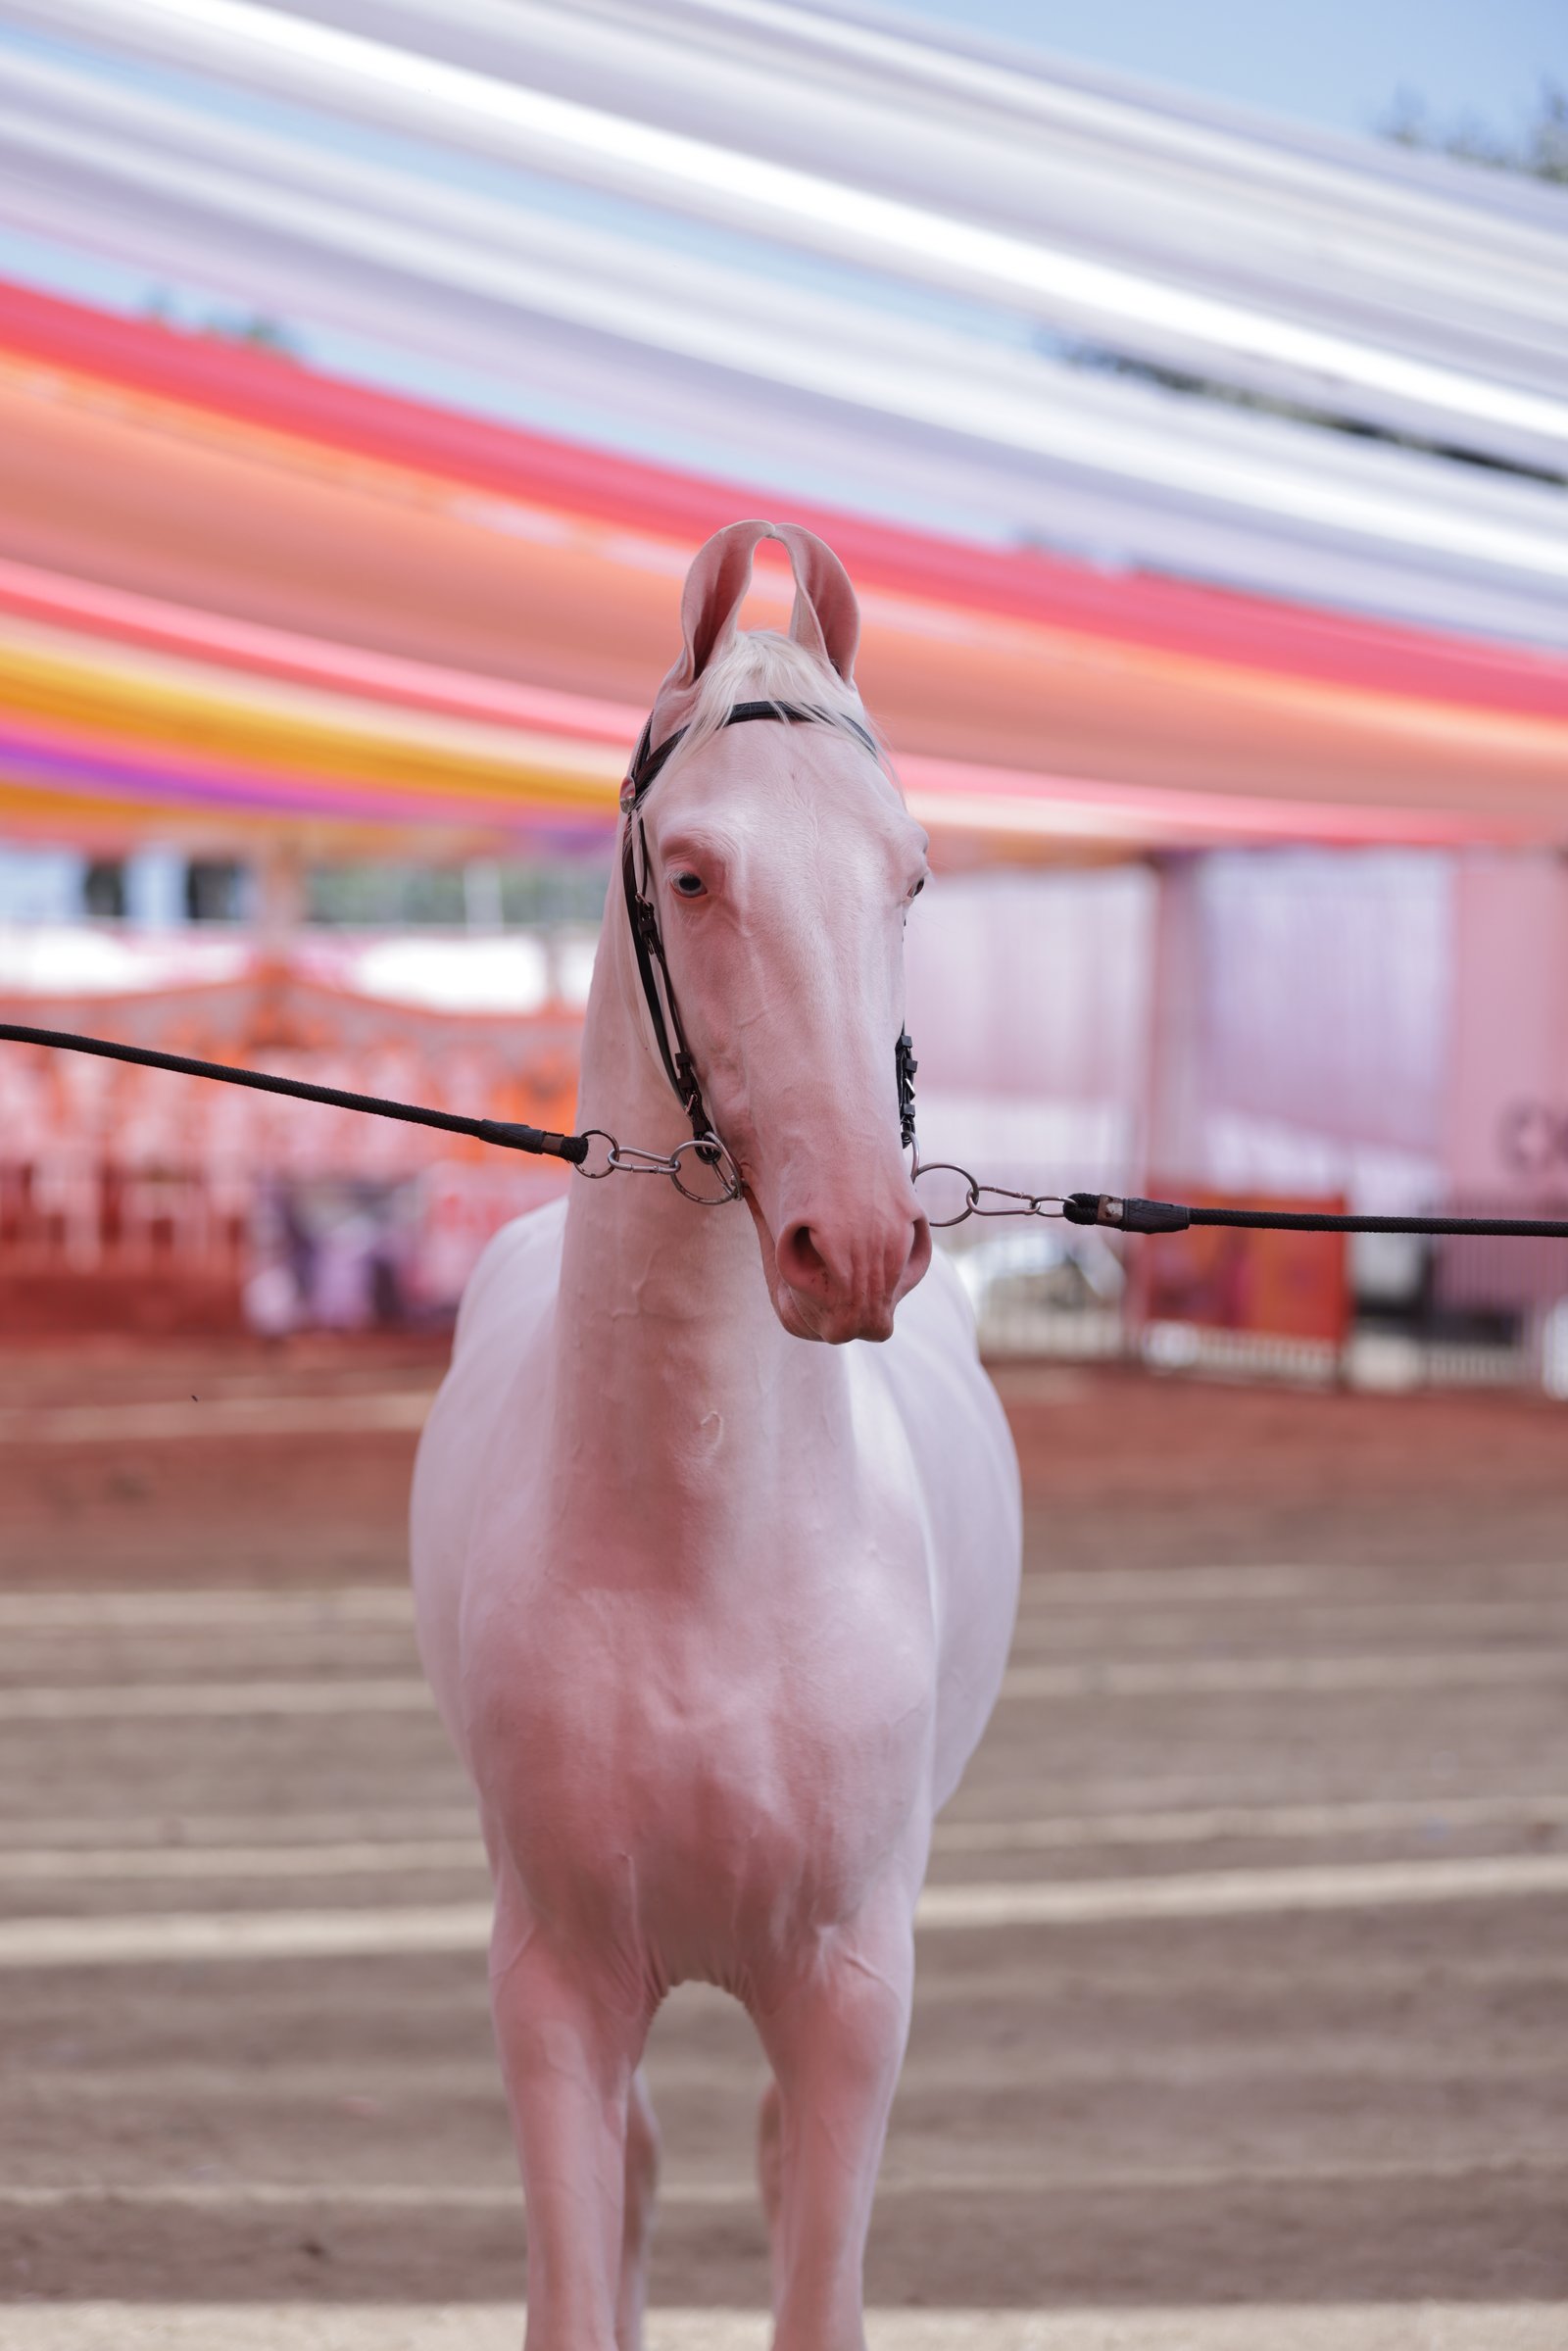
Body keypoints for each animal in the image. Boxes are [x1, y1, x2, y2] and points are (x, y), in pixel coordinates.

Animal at [410, 518, 1021, 2351]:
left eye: (908, 876)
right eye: (689, 872)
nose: (857, 1246)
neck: (700, 1555)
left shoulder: (848, 1986)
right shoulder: (554, 1979)